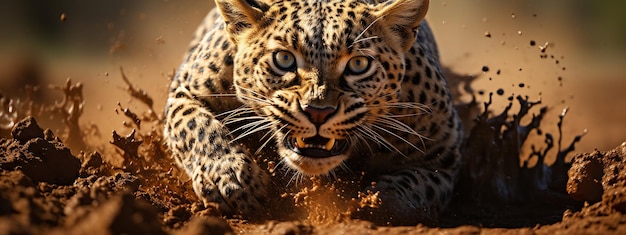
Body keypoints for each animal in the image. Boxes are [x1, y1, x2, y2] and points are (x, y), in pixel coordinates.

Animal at [163, 0, 460, 226]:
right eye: (283, 59)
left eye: (359, 64)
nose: (318, 112)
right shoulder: (185, 91)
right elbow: (198, 128)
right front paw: (230, 179)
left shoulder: (443, 155)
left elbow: (414, 186)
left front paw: (376, 204)